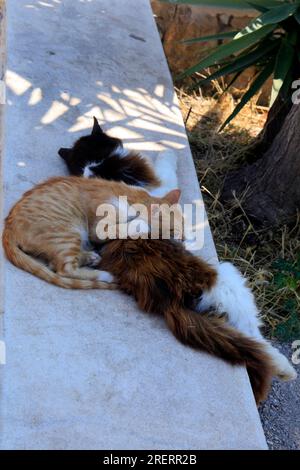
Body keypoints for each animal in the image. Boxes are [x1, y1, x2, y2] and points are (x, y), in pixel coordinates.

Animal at [2, 175, 180, 288]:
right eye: (174, 233)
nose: (182, 243)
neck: (132, 197)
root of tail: (8, 226)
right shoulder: (98, 228)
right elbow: (130, 225)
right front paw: (143, 224)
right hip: (69, 233)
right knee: (63, 269)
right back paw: (105, 275)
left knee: (56, 263)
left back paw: (90, 257)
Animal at [57, 117, 296, 400]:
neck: (99, 163)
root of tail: (169, 299)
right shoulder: (162, 188)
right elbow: (166, 167)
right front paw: (168, 150)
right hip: (228, 276)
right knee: (251, 332)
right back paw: (283, 367)